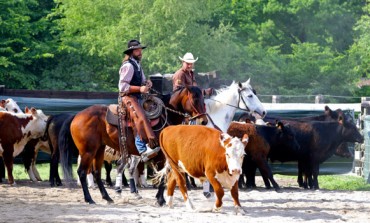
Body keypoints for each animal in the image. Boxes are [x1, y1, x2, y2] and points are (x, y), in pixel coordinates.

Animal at [59, 86, 207, 205]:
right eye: (194, 99)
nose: (203, 121)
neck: (166, 117)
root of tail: (76, 115)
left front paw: (159, 198)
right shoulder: (161, 156)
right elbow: (162, 175)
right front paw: (160, 200)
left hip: (99, 149)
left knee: (97, 172)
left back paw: (107, 197)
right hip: (88, 151)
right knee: (82, 172)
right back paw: (89, 199)